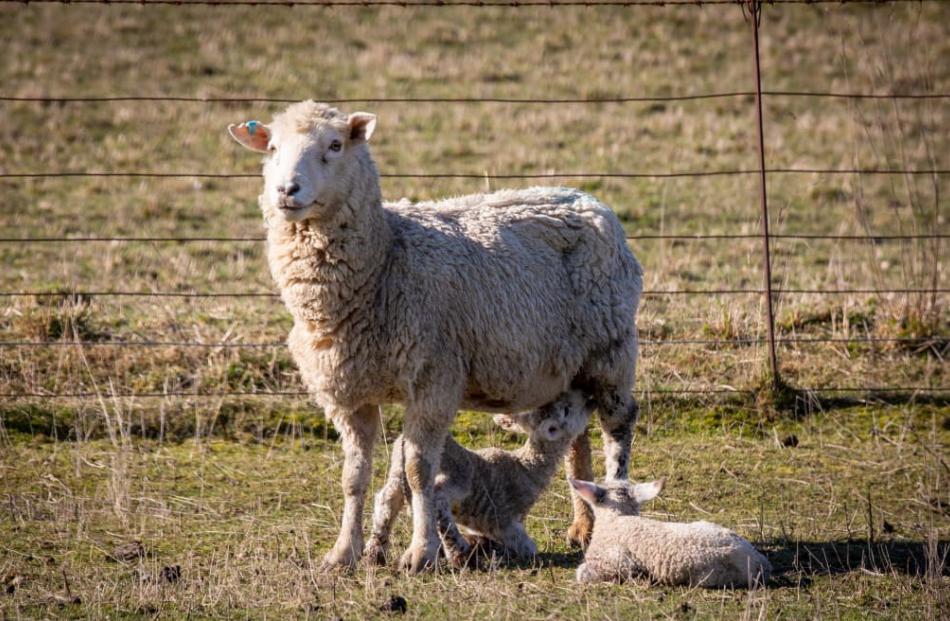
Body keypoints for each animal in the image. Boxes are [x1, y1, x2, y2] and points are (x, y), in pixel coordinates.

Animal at [366, 390, 596, 564]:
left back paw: (375, 552)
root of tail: (404, 441)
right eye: (567, 409)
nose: (589, 400)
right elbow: (527, 546)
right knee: (437, 497)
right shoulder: (504, 520)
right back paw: (460, 554)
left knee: (387, 499)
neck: (527, 466)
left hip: (397, 470)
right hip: (455, 478)